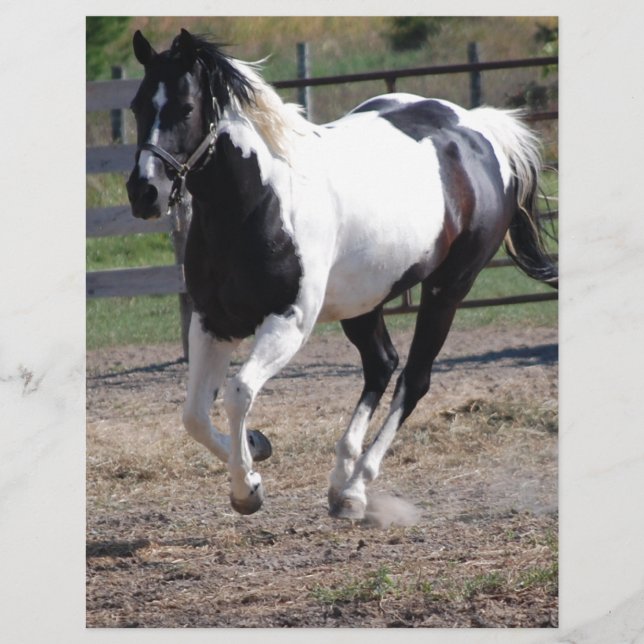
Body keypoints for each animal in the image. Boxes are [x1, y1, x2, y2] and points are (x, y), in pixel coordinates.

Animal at [126, 29, 557, 519]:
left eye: (185, 107)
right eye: (137, 106)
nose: (143, 192)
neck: (257, 202)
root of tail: (480, 131)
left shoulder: (288, 321)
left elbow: (238, 393)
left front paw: (247, 489)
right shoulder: (212, 321)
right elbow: (194, 415)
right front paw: (257, 449)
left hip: (447, 289)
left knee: (413, 378)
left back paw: (356, 488)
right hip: (363, 301)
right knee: (382, 364)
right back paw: (340, 480)